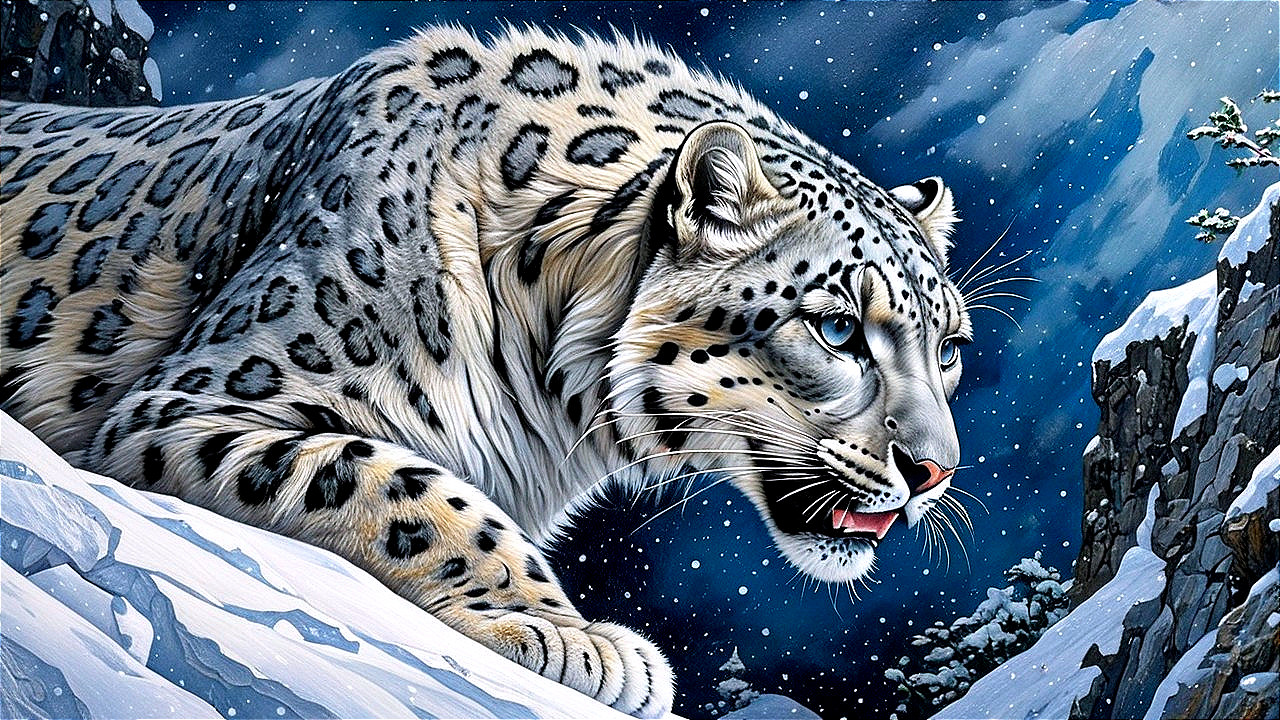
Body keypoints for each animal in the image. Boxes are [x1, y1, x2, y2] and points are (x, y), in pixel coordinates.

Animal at [0, 26, 972, 717]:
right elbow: (408, 485)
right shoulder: (194, 402)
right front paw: (574, 637)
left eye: (949, 347)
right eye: (838, 328)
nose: (934, 471)